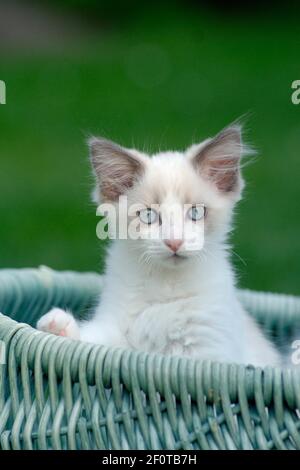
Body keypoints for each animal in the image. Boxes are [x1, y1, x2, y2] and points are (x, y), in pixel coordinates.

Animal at [37, 125, 278, 368]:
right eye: (148, 216)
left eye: (196, 212)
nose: (174, 241)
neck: (167, 287)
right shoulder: (117, 331)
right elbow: (93, 342)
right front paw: (56, 326)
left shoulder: (211, 350)